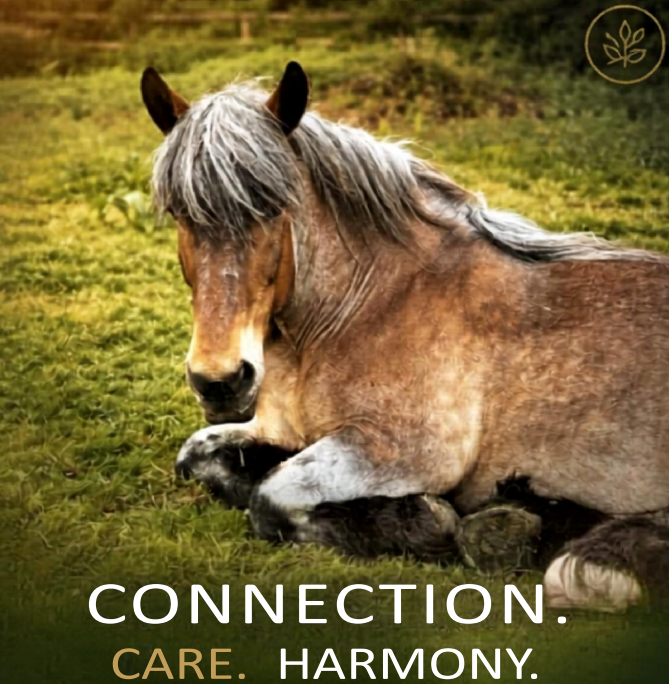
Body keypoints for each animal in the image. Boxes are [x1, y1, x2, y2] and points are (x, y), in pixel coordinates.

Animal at [140, 62, 669, 611]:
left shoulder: (403, 450)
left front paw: (426, 521)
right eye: (178, 212)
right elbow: (198, 456)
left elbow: (269, 497)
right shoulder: (280, 429)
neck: (365, 305)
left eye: (272, 208)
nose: (220, 381)